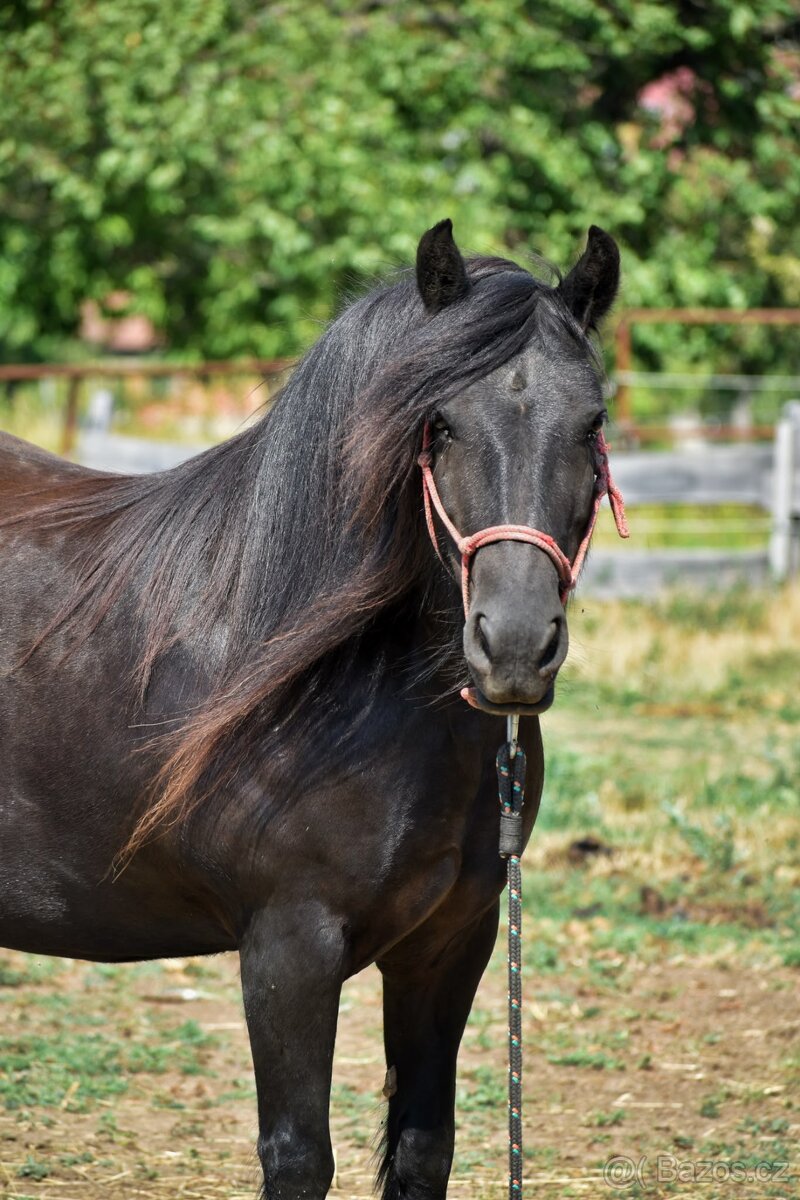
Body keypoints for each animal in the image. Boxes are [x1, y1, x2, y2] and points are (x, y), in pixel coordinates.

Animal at [0, 219, 621, 1199]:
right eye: (438, 423)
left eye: (592, 426)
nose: (517, 645)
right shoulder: (289, 946)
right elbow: (298, 1157)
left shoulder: (451, 943)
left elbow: (423, 1148)